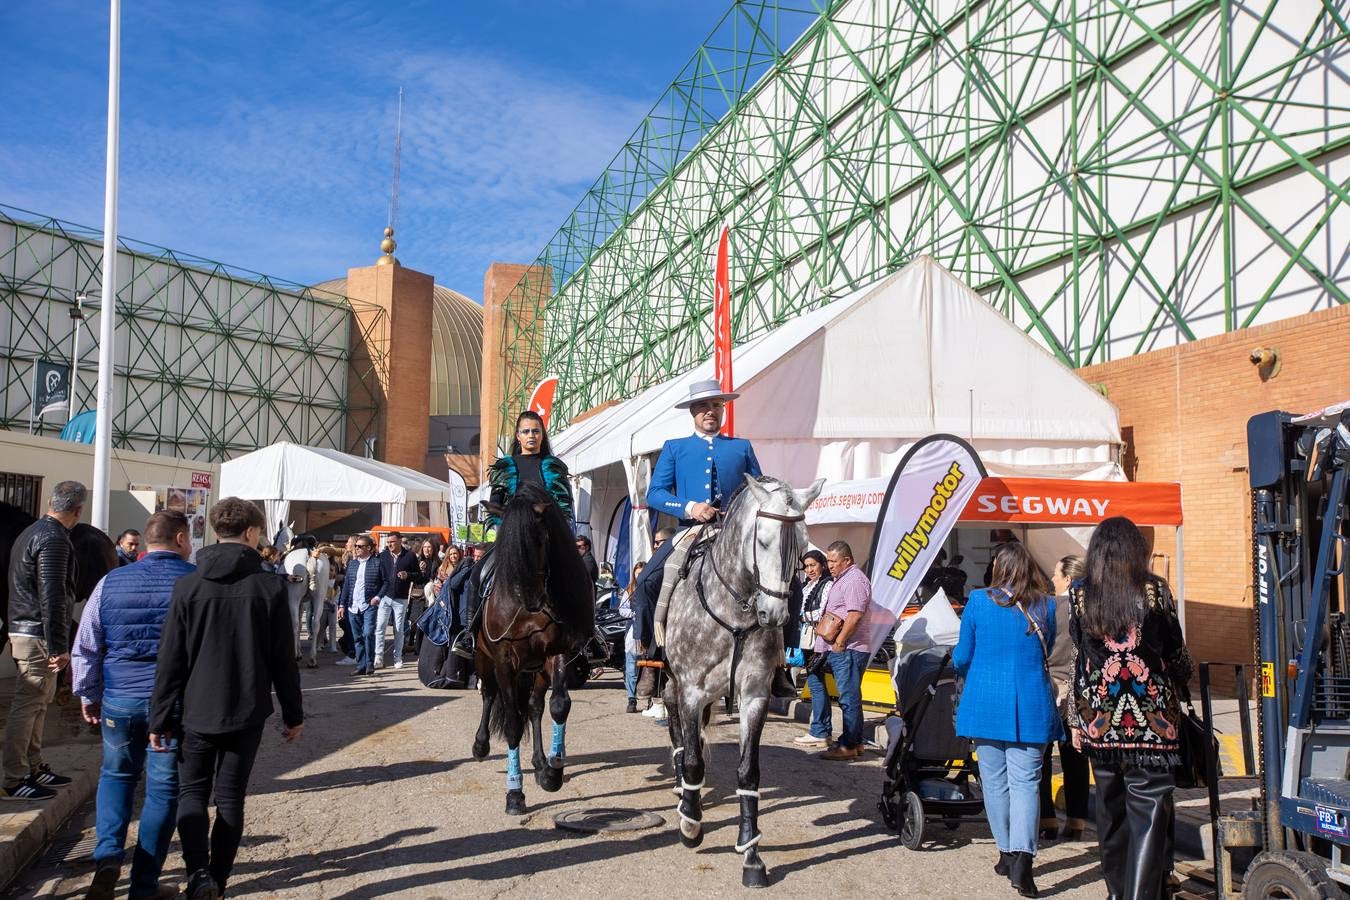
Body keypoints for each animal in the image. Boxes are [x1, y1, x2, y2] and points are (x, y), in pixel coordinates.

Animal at [472, 485, 594, 814]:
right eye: (505, 542)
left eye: (540, 540)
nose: (530, 600)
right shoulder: (504, 660)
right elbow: (513, 723)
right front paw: (515, 793)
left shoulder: (558, 651)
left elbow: (558, 706)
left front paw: (553, 770)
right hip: (484, 658)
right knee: (489, 695)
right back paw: (481, 744)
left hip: (536, 669)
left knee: (535, 707)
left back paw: (540, 763)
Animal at [656, 474, 815, 890]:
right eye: (764, 541)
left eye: (803, 543)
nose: (774, 614)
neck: (736, 612)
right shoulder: (692, 691)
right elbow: (694, 761)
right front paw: (690, 826)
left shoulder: (755, 695)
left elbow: (748, 772)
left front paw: (751, 854)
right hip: (675, 681)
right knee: (677, 727)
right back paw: (681, 789)